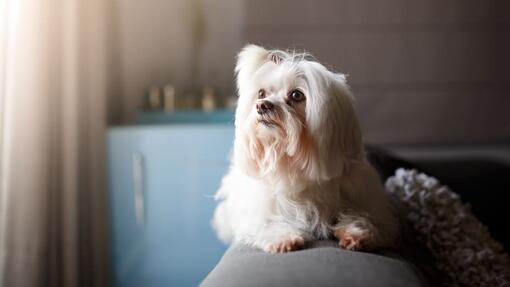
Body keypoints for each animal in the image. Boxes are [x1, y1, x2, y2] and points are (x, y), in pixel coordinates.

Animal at [211, 45, 398, 254]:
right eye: (261, 93)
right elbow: (267, 222)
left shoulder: (367, 201)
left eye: (296, 95)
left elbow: (364, 217)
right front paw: (283, 238)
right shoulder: (259, 211)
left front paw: (357, 233)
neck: (294, 166)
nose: (262, 105)